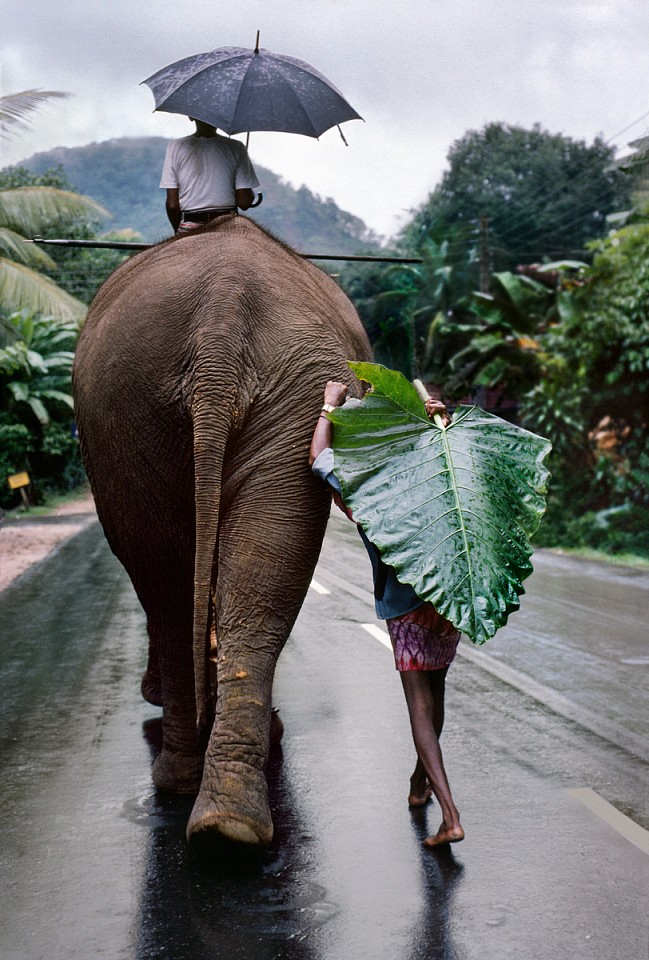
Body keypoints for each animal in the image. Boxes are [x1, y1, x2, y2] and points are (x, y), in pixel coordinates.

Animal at [72, 216, 370, 848]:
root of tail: (221, 314)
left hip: (162, 395)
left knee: (169, 578)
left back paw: (207, 801)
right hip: (142, 398)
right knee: (198, 578)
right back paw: (223, 817)